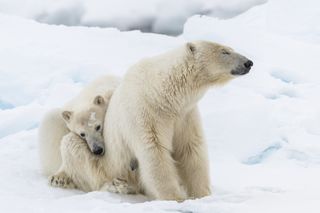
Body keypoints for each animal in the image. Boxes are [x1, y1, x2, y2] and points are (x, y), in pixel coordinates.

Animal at [102, 40, 252, 201]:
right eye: (224, 52)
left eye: (231, 49)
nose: (248, 63)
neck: (160, 94)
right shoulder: (145, 114)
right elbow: (155, 151)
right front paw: (175, 198)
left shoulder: (185, 115)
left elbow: (190, 149)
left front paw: (202, 194)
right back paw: (120, 185)